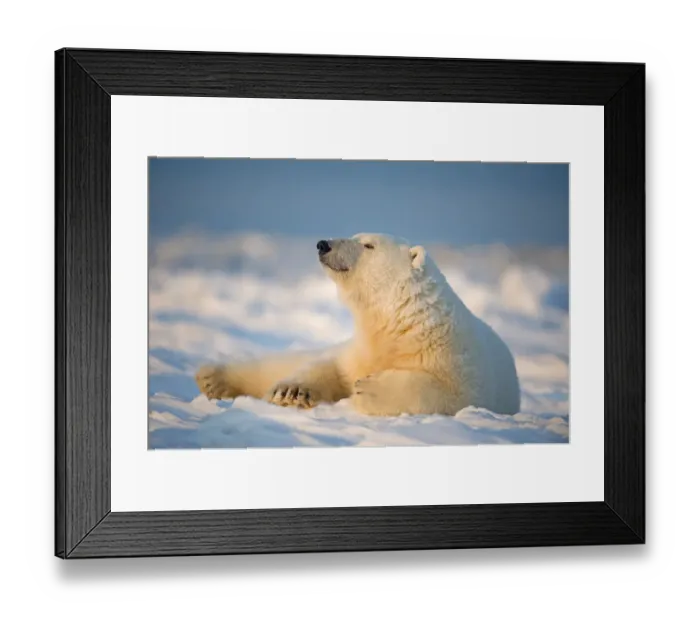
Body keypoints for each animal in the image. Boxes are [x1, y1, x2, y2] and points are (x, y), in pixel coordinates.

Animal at [195, 233, 521, 416]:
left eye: (368, 244)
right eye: (354, 235)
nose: (323, 244)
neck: (400, 321)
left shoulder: (457, 364)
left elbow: (444, 393)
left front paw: (370, 389)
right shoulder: (358, 348)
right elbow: (329, 367)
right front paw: (291, 391)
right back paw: (211, 378)